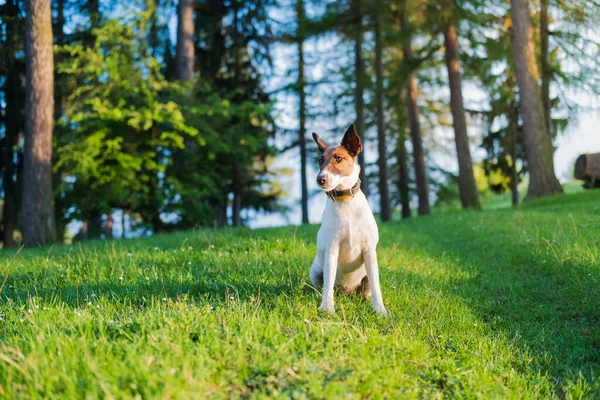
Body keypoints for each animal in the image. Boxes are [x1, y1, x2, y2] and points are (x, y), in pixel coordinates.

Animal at [310, 125, 390, 316]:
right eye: (319, 160)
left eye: (338, 158)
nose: (320, 179)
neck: (345, 202)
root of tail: (346, 292)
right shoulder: (332, 250)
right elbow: (328, 283)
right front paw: (327, 308)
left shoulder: (369, 251)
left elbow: (376, 287)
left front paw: (380, 310)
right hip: (315, 270)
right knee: (322, 286)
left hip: (366, 276)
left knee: (366, 290)